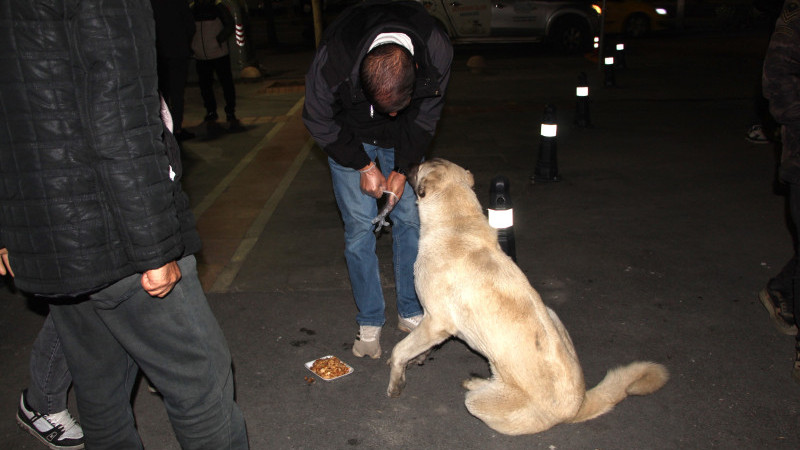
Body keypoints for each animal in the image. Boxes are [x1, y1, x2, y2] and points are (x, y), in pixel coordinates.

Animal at [388, 159, 668, 436]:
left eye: (419, 166)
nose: (401, 165)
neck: (457, 223)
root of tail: (579, 404)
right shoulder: (432, 323)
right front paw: (420, 356)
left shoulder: (436, 323)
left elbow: (400, 348)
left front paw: (396, 378)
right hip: (551, 312)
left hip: (478, 402)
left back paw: (478, 383)